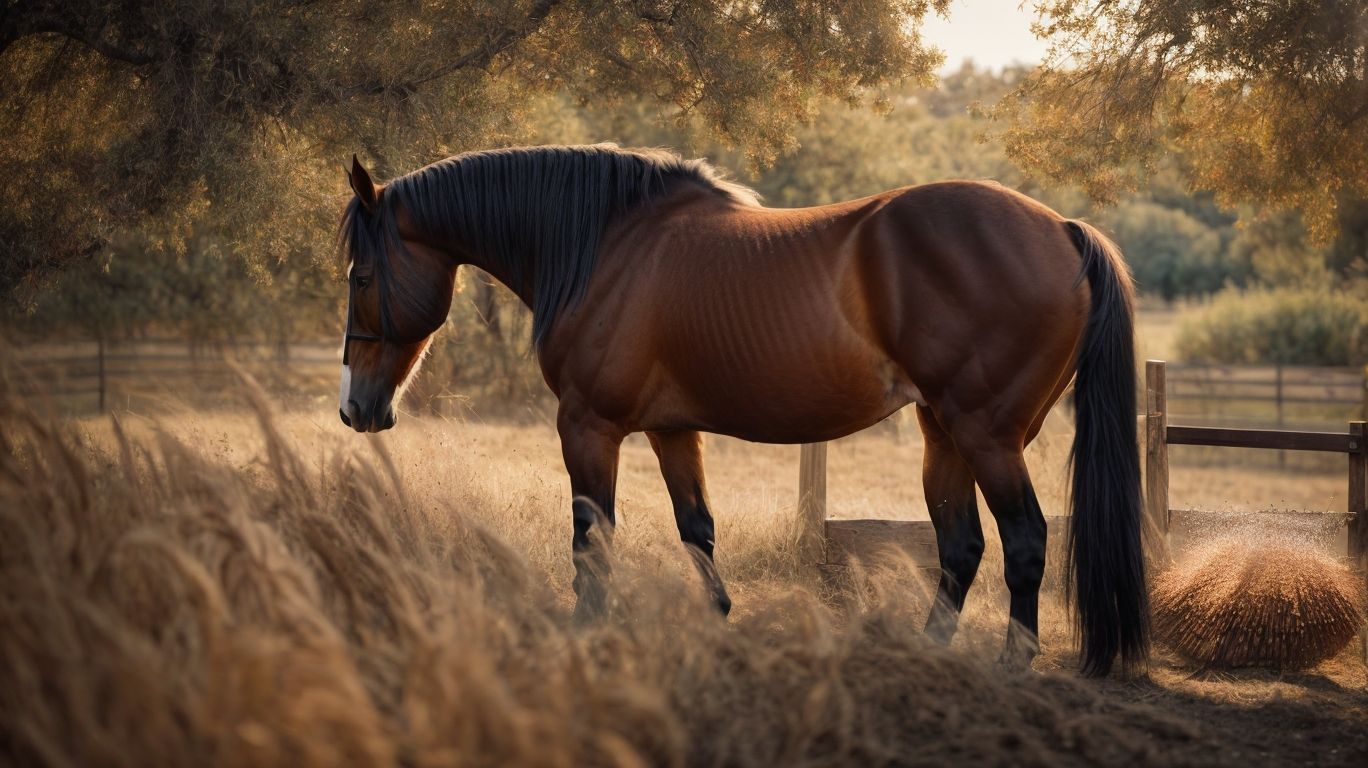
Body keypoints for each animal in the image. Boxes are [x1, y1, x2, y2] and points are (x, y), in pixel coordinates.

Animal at [336, 144, 1148, 677]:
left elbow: (591, 541)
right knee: (962, 546)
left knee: (1024, 541)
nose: (355, 409)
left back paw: (1012, 665)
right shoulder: (671, 430)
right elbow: (696, 530)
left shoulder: (589, 427)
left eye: (361, 276)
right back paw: (925, 655)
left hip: (987, 437)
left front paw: (586, 635)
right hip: (941, 433)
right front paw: (717, 625)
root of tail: (1064, 230)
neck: (608, 247)